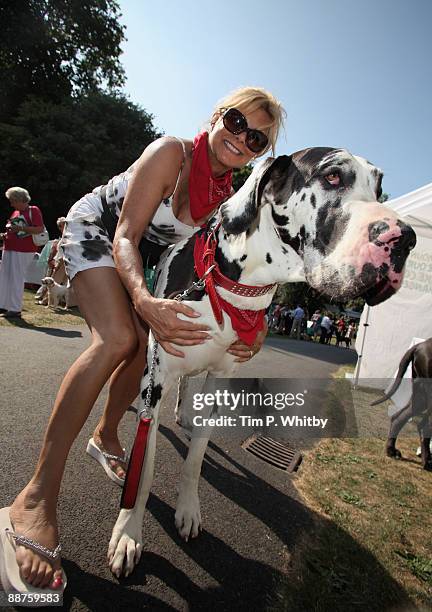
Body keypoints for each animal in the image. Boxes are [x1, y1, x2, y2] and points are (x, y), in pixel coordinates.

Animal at [107, 146, 416, 576]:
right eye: (333, 176)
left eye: (379, 186)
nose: (406, 239)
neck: (234, 284)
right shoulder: (156, 379)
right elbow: (144, 469)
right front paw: (128, 534)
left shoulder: (218, 380)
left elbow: (196, 458)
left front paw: (188, 510)